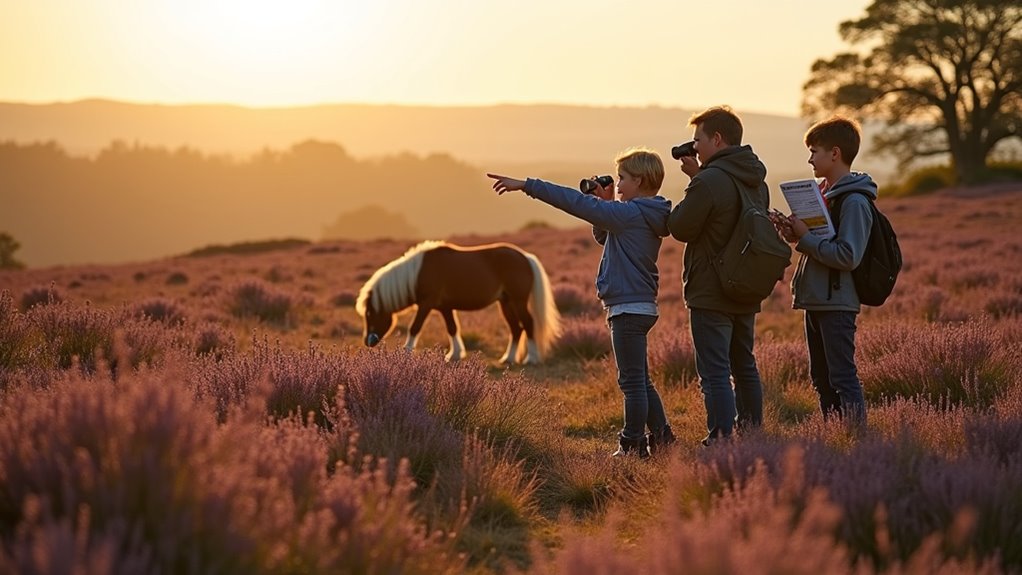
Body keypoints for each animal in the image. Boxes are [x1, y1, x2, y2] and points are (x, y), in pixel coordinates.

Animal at [355, 240, 561, 363]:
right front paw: (454, 354)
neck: (418, 274)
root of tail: (525, 257)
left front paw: (405, 353)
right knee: (516, 329)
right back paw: (507, 359)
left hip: (518, 301)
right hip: (505, 303)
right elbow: (452, 328)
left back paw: (531, 358)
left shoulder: (426, 305)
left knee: (528, 324)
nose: (368, 341)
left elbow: (415, 328)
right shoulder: (445, 308)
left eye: (370, 313)